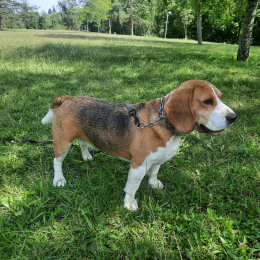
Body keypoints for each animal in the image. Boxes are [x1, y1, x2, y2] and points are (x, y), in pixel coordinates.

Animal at [42, 79, 236, 209]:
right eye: (207, 101)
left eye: (220, 98)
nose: (233, 117)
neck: (162, 122)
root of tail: (69, 98)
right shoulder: (138, 166)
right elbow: (132, 187)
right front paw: (129, 204)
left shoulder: (157, 160)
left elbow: (154, 173)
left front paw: (154, 184)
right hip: (62, 143)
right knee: (57, 161)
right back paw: (59, 179)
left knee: (83, 143)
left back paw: (86, 156)